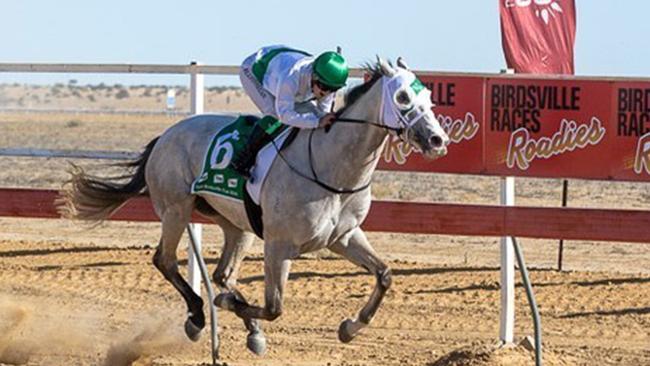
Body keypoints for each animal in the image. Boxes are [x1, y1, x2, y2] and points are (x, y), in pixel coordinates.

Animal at [58, 58, 448, 356]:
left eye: (429, 96)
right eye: (401, 97)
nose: (437, 139)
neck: (330, 166)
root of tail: (165, 135)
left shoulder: (344, 236)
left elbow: (384, 274)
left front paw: (350, 327)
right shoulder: (279, 246)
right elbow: (275, 307)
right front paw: (225, 305)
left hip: (236, 225)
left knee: (222, 274)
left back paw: (249, 329)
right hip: (176, 209)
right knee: (166, 261)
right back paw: (198, 316)